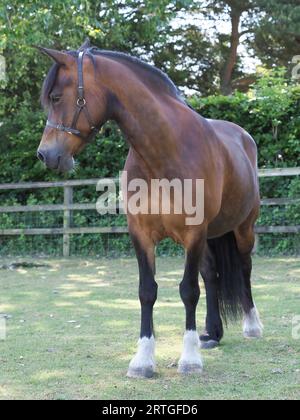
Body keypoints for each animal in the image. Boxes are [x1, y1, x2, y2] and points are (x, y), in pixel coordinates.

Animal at [35, 41, 262, 378]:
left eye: (56, 97)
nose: (45, 155)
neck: (165, 150)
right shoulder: (141, 234)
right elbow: (147, 291)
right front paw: (142, 360)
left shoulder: (193, 233)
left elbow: (188, 291)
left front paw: (189, 359)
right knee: (211, 275)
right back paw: (212, 333)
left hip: (243, 228)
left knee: (244, 268)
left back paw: (252, 324)